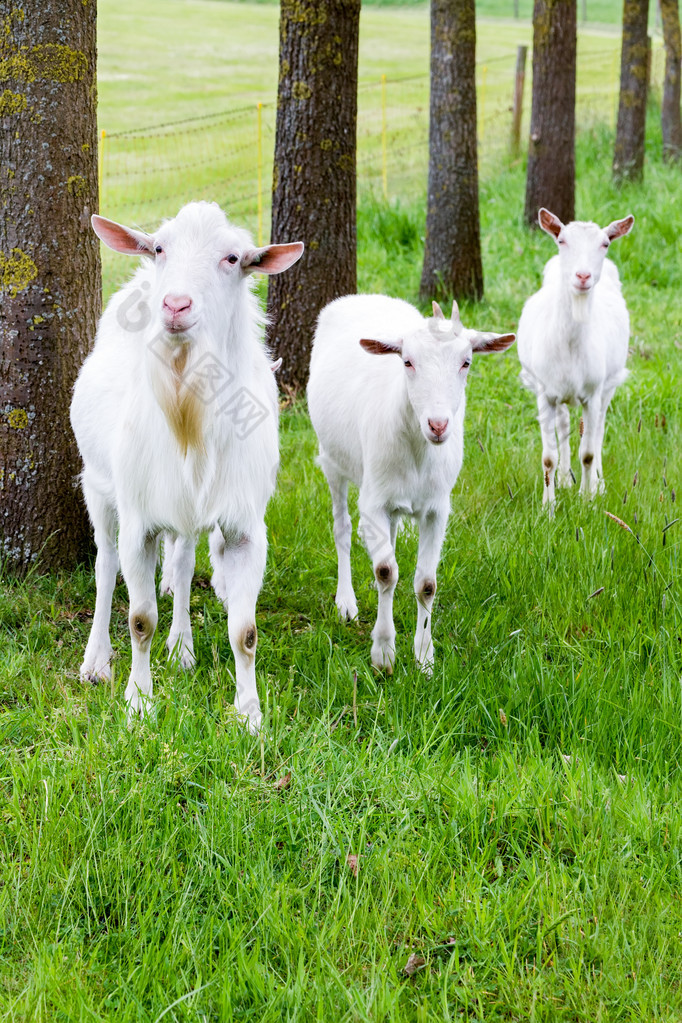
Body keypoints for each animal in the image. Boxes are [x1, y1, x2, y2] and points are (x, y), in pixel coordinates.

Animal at [70, 201, 302, 728]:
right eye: (159, 247)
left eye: (233, 258)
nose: (175, 305)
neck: (187, 416)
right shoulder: (139, 520)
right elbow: (140, 619)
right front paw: (138, 703)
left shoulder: (243, 526)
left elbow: (245, 631)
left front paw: (250, 715)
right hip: (98, 485)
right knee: (105, 564)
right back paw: (96, 661)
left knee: (181, 563)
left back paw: (181, 648)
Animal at [306, 296, 515, 675]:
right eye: (407, 361)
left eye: (466, 362)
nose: (438, 425)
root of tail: (364, 296)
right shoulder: (373, 501)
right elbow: (386, 571)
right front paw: (384, 655)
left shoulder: (437, 508)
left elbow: (426, 584)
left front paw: (424, 658)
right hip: (332, 461)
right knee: (343, 528)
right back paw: (346, 602)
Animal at [517, 205, 633, 505]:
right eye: (562, 240)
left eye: (605, 243)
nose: (582, 276)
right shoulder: (544, 391)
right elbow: (548, 457)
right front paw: (548, 505)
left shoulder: (593, 390)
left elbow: (589, 452)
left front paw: (587, 498)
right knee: (564, 425)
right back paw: (564, 480)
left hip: (609, 383)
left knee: (599, 429)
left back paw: (598, 484)